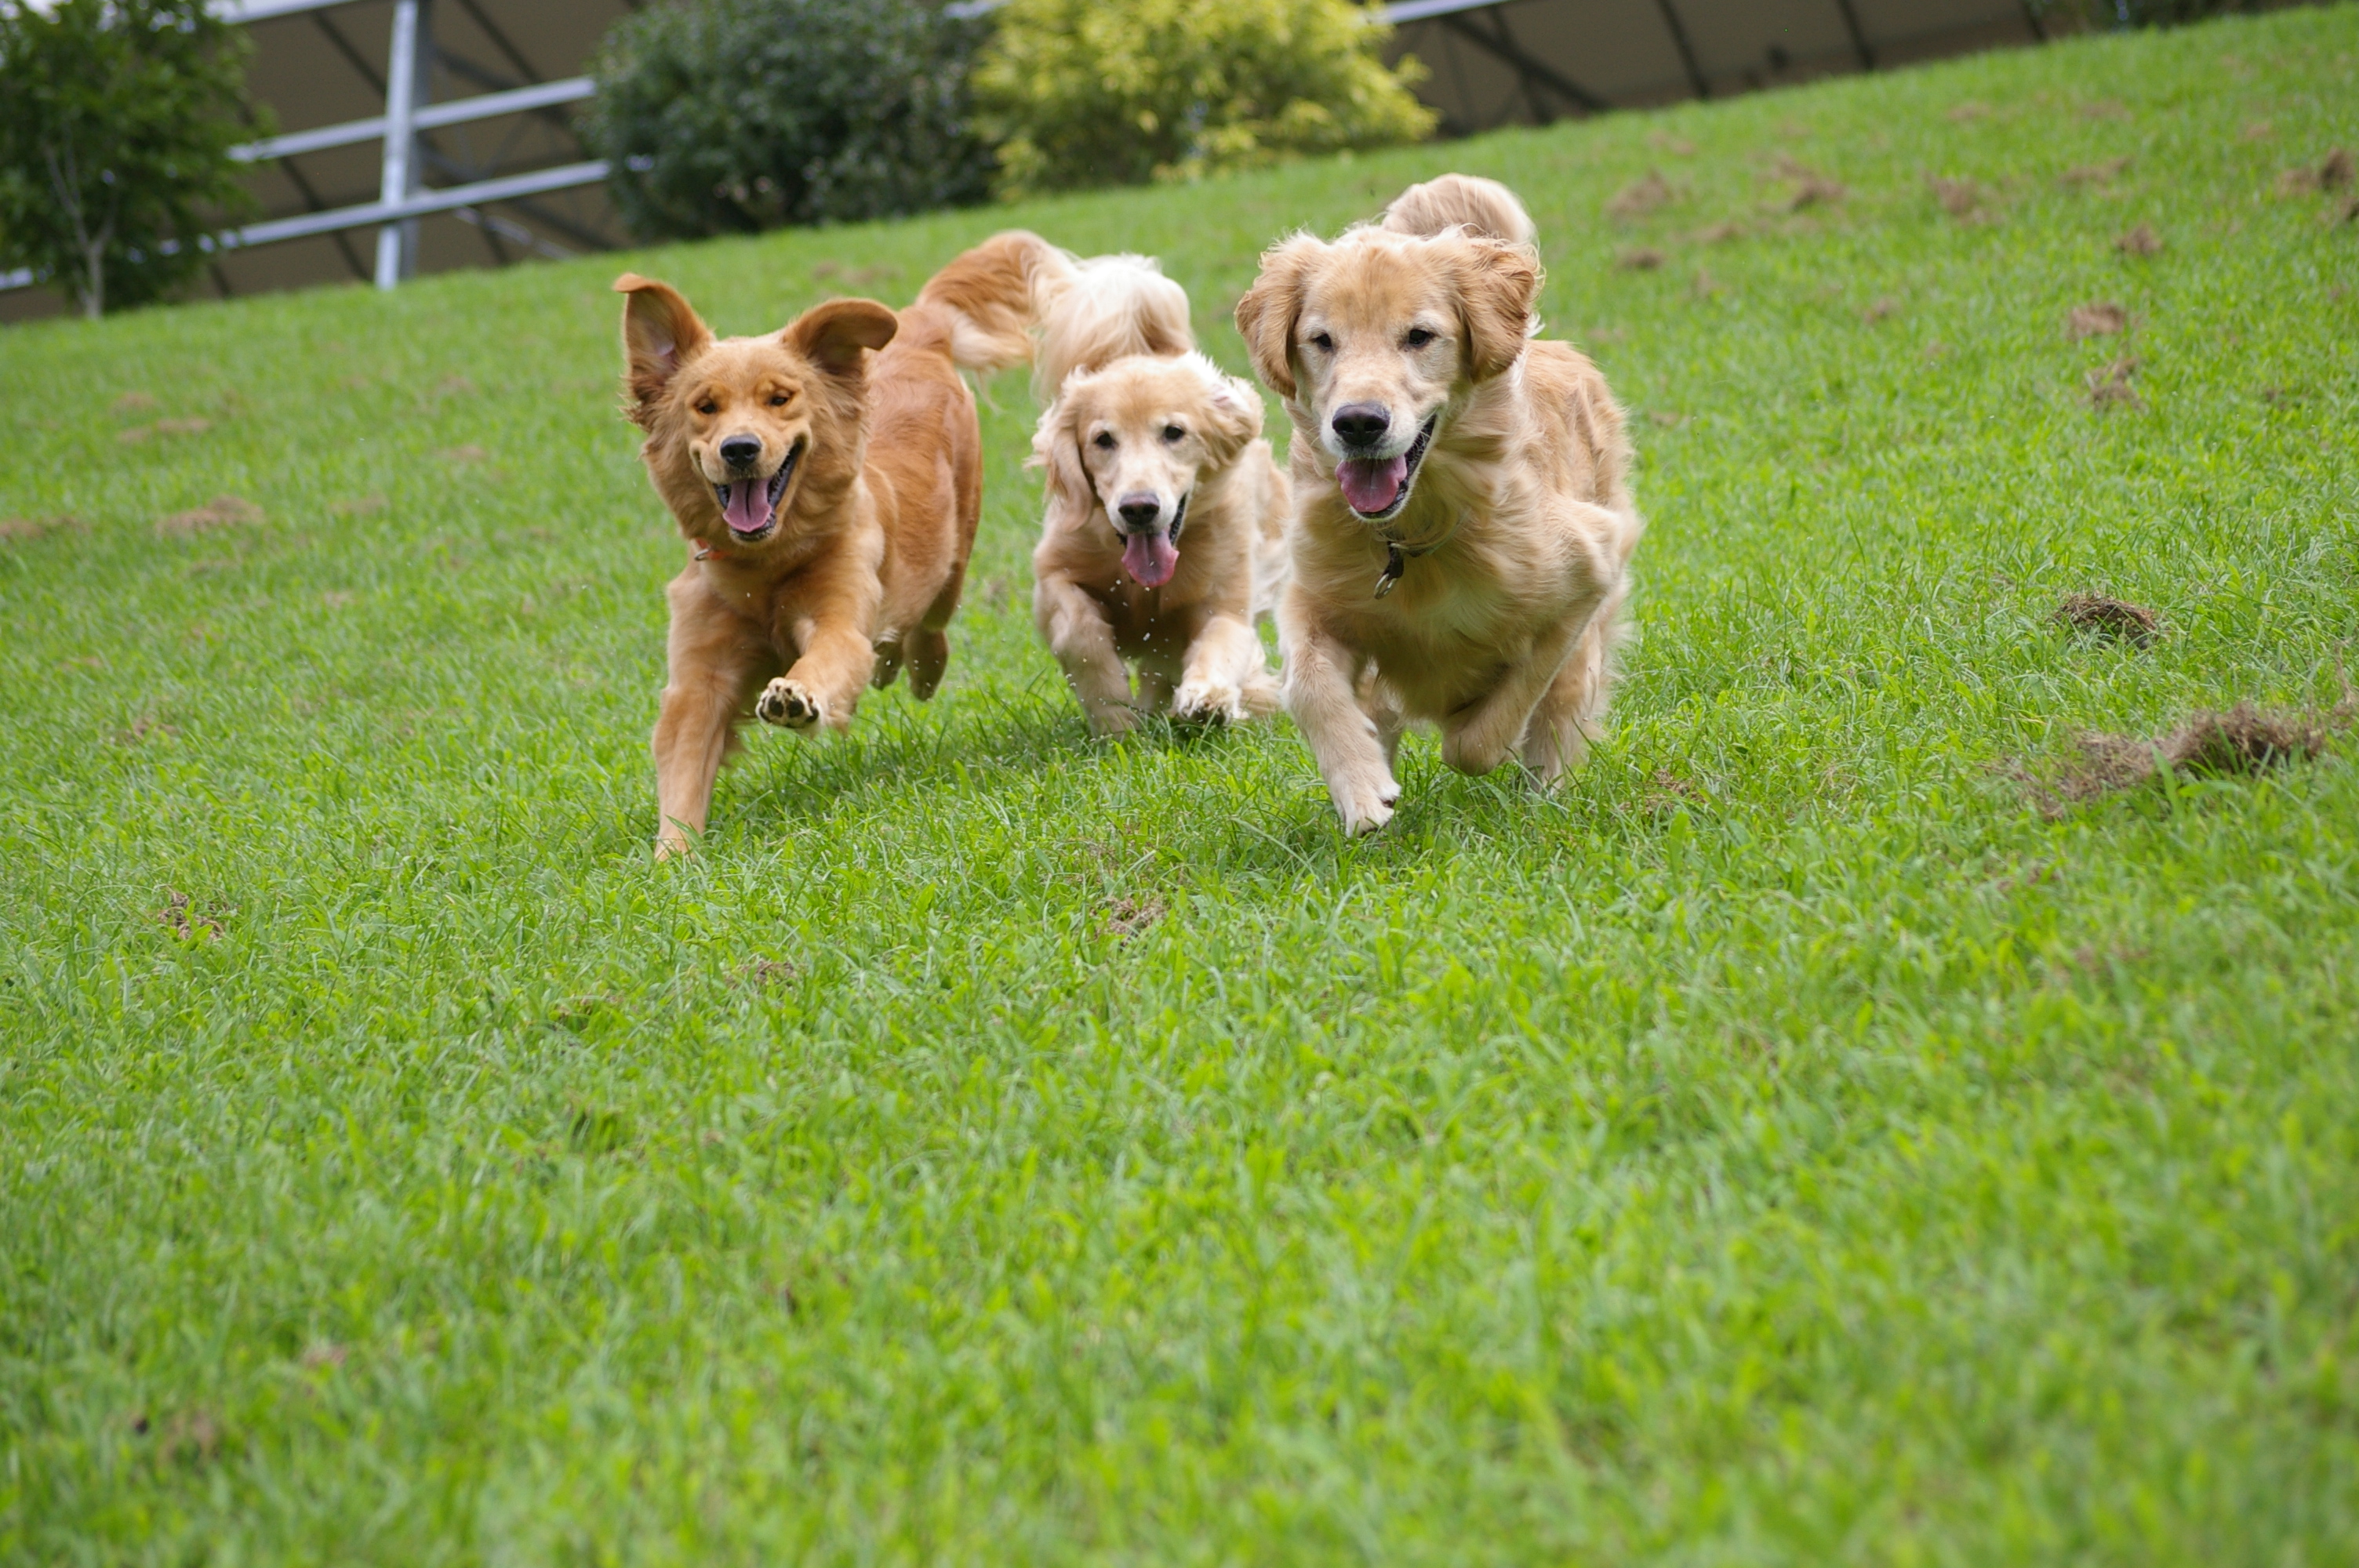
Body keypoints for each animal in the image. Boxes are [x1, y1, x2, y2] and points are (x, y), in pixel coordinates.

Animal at [616, 231, 1060, 857]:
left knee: (930, 620)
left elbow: (830, 655)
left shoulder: (839, 617)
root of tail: (916, 328)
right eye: (705, 407)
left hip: (954, 550)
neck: (765, 568)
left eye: (779, 399)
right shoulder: (699, 677)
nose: (739, 448)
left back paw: (921, 668)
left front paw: (794, 696)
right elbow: (682, 768)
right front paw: (671, 860)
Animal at [1027, 252, 1289, 734]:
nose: (1138, 509)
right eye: (1103, 440)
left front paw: (1207, 700)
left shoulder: (1226, 600)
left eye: (1174, 432)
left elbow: (1220, 644)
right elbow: (1080, 632)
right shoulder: (1053, 572)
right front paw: (1114, 714)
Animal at [1233, 174, 1641, 833]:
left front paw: (1473, 729)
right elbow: (1309, 686)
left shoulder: (1589, 568)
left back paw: (1544, 798)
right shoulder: (1313, 597)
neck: (1416, 534)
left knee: (1560, 709)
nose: (1358, 423)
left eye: (1419, 336)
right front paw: (1361, 789)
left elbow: (1486, 729)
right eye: (1321, 340)